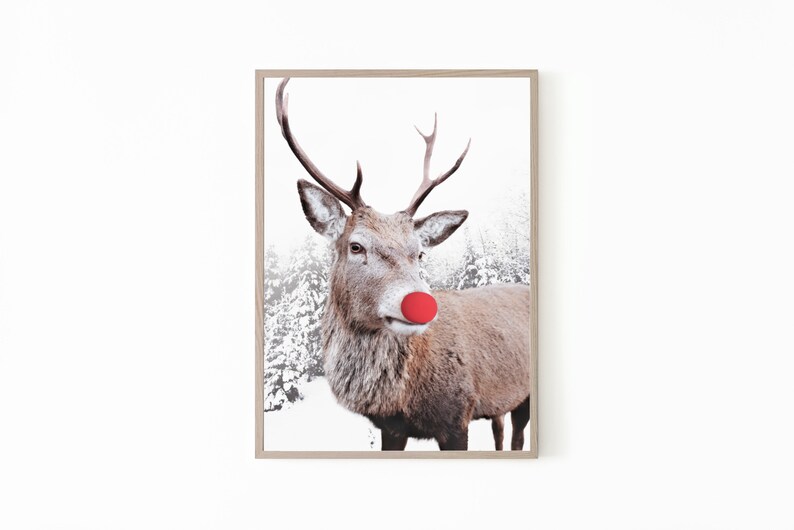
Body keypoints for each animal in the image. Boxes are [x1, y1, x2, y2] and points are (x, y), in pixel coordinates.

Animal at [274, 78, 531, 451]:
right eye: (356, 246)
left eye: (419, 253)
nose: (421, 304)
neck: (399, 399)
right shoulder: (391, 428)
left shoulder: (458, 415)